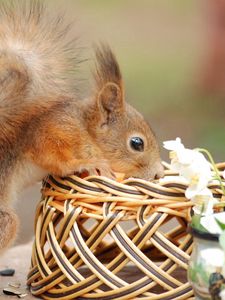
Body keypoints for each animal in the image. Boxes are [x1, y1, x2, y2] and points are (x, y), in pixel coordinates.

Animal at [0, 1, 163, 252]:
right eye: (137, 143)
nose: (158, 173)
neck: (86, 130)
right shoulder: (54, 131)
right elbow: (53, 156)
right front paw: (89, 163)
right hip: (6, 222)